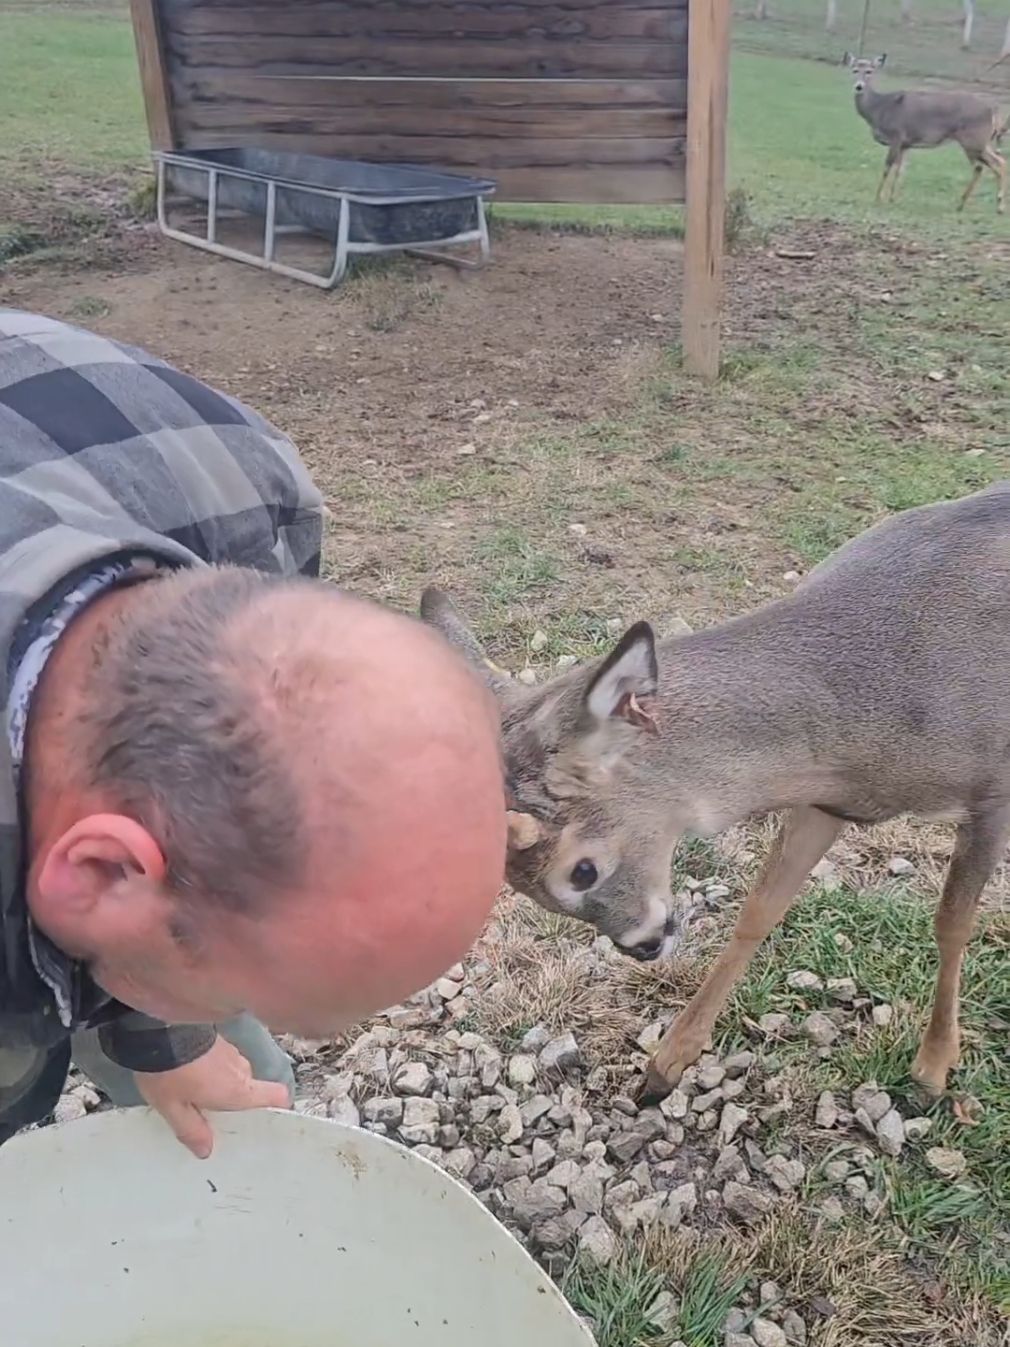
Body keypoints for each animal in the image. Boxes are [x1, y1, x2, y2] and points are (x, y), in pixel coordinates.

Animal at [422, 484, 1010, 1104]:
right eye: (526, 891)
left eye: (582, 870)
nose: (641, 946)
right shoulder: (826, 799)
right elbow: (760, 908)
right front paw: (667, 1063)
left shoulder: (991, 791)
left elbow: (952, 923)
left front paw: (934, 1067)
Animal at [840, 51, 1007, 212]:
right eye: (854, 70)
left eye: (869, 71)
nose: (859, 86)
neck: (880, 108)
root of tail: (993, 109)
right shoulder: (905, 144)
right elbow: (900, 170)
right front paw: (892, 199)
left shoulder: (896, 136)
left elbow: (887, 167)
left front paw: (878, 198)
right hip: (982, 142)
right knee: (1000, 161)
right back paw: (994, 206)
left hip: (972, 140)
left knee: (982, 167)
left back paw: (967, 204)